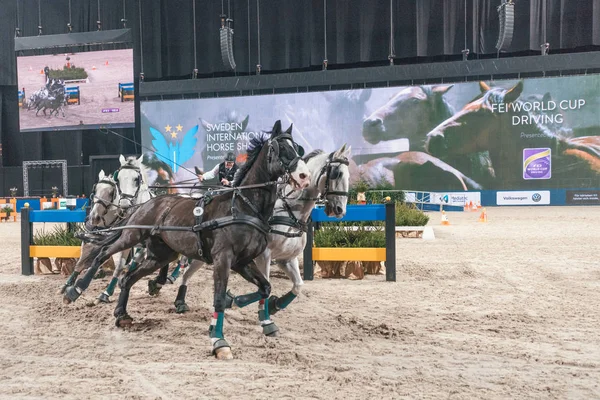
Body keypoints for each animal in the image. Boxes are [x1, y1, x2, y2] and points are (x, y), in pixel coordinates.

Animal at [171, 144, 352, 334]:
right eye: (337, 173)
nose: (340, 210)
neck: (290, 212)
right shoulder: (264, 256)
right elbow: (266, 286)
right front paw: (264, 319)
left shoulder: (287, 259)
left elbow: (298, 286)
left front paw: (274, 305)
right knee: (186, 270)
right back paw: (177, 295)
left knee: (186, 270)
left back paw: (179, 298)